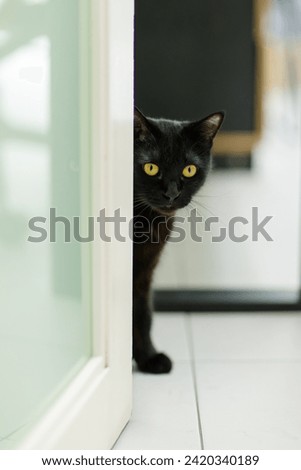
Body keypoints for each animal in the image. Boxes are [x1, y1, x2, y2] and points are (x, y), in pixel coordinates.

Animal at [133, 107, 223, 374]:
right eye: (151, 168)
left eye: (189, 170)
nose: (171, 193)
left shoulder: (144, 271)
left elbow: (142, 313)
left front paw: (148, 357)